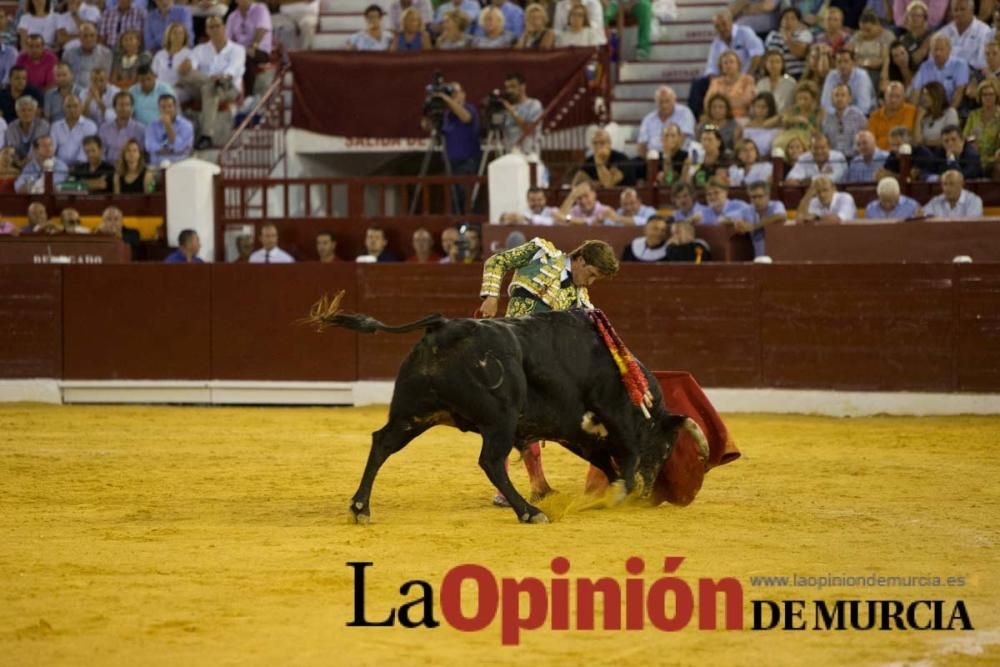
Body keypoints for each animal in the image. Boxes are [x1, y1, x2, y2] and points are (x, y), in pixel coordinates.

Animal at [308, 296, 708, 520]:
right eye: (667, 447)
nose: (648, 495)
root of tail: (444, 327)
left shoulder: (579, 433)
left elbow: (607, 464)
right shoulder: (618, 421)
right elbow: (625, 462)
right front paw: (613, 497)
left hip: (414, 413)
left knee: (382, 443)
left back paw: (360, 508)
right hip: (500, 417)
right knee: (490, 461)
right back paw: (530, 512)